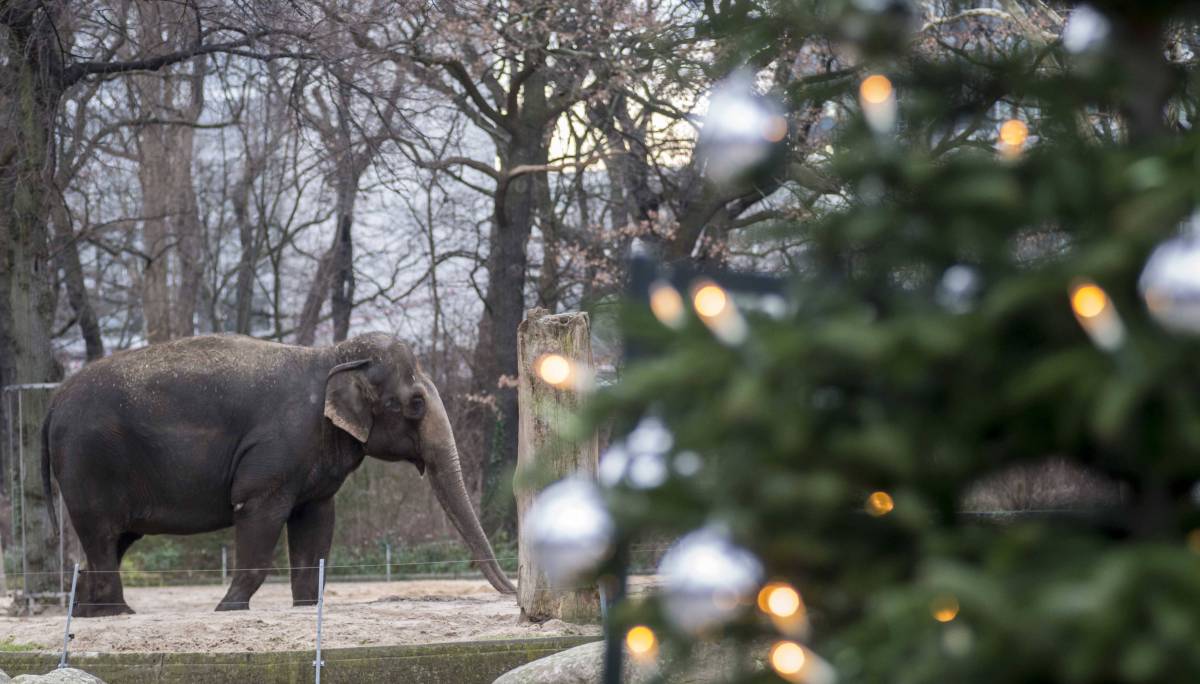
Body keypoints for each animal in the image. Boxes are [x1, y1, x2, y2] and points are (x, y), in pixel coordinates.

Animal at [36, 333, 516, 614]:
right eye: (415, 404)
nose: (512, 593)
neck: (331, 357)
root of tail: (54, 402)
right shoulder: (276, 451)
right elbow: (258, 512)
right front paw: (228, 608)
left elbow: (316, 522)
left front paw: (304, 606)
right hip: (88, 462)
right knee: (101, 534)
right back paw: (118, 613)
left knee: (112, 540)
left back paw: (86, 614)